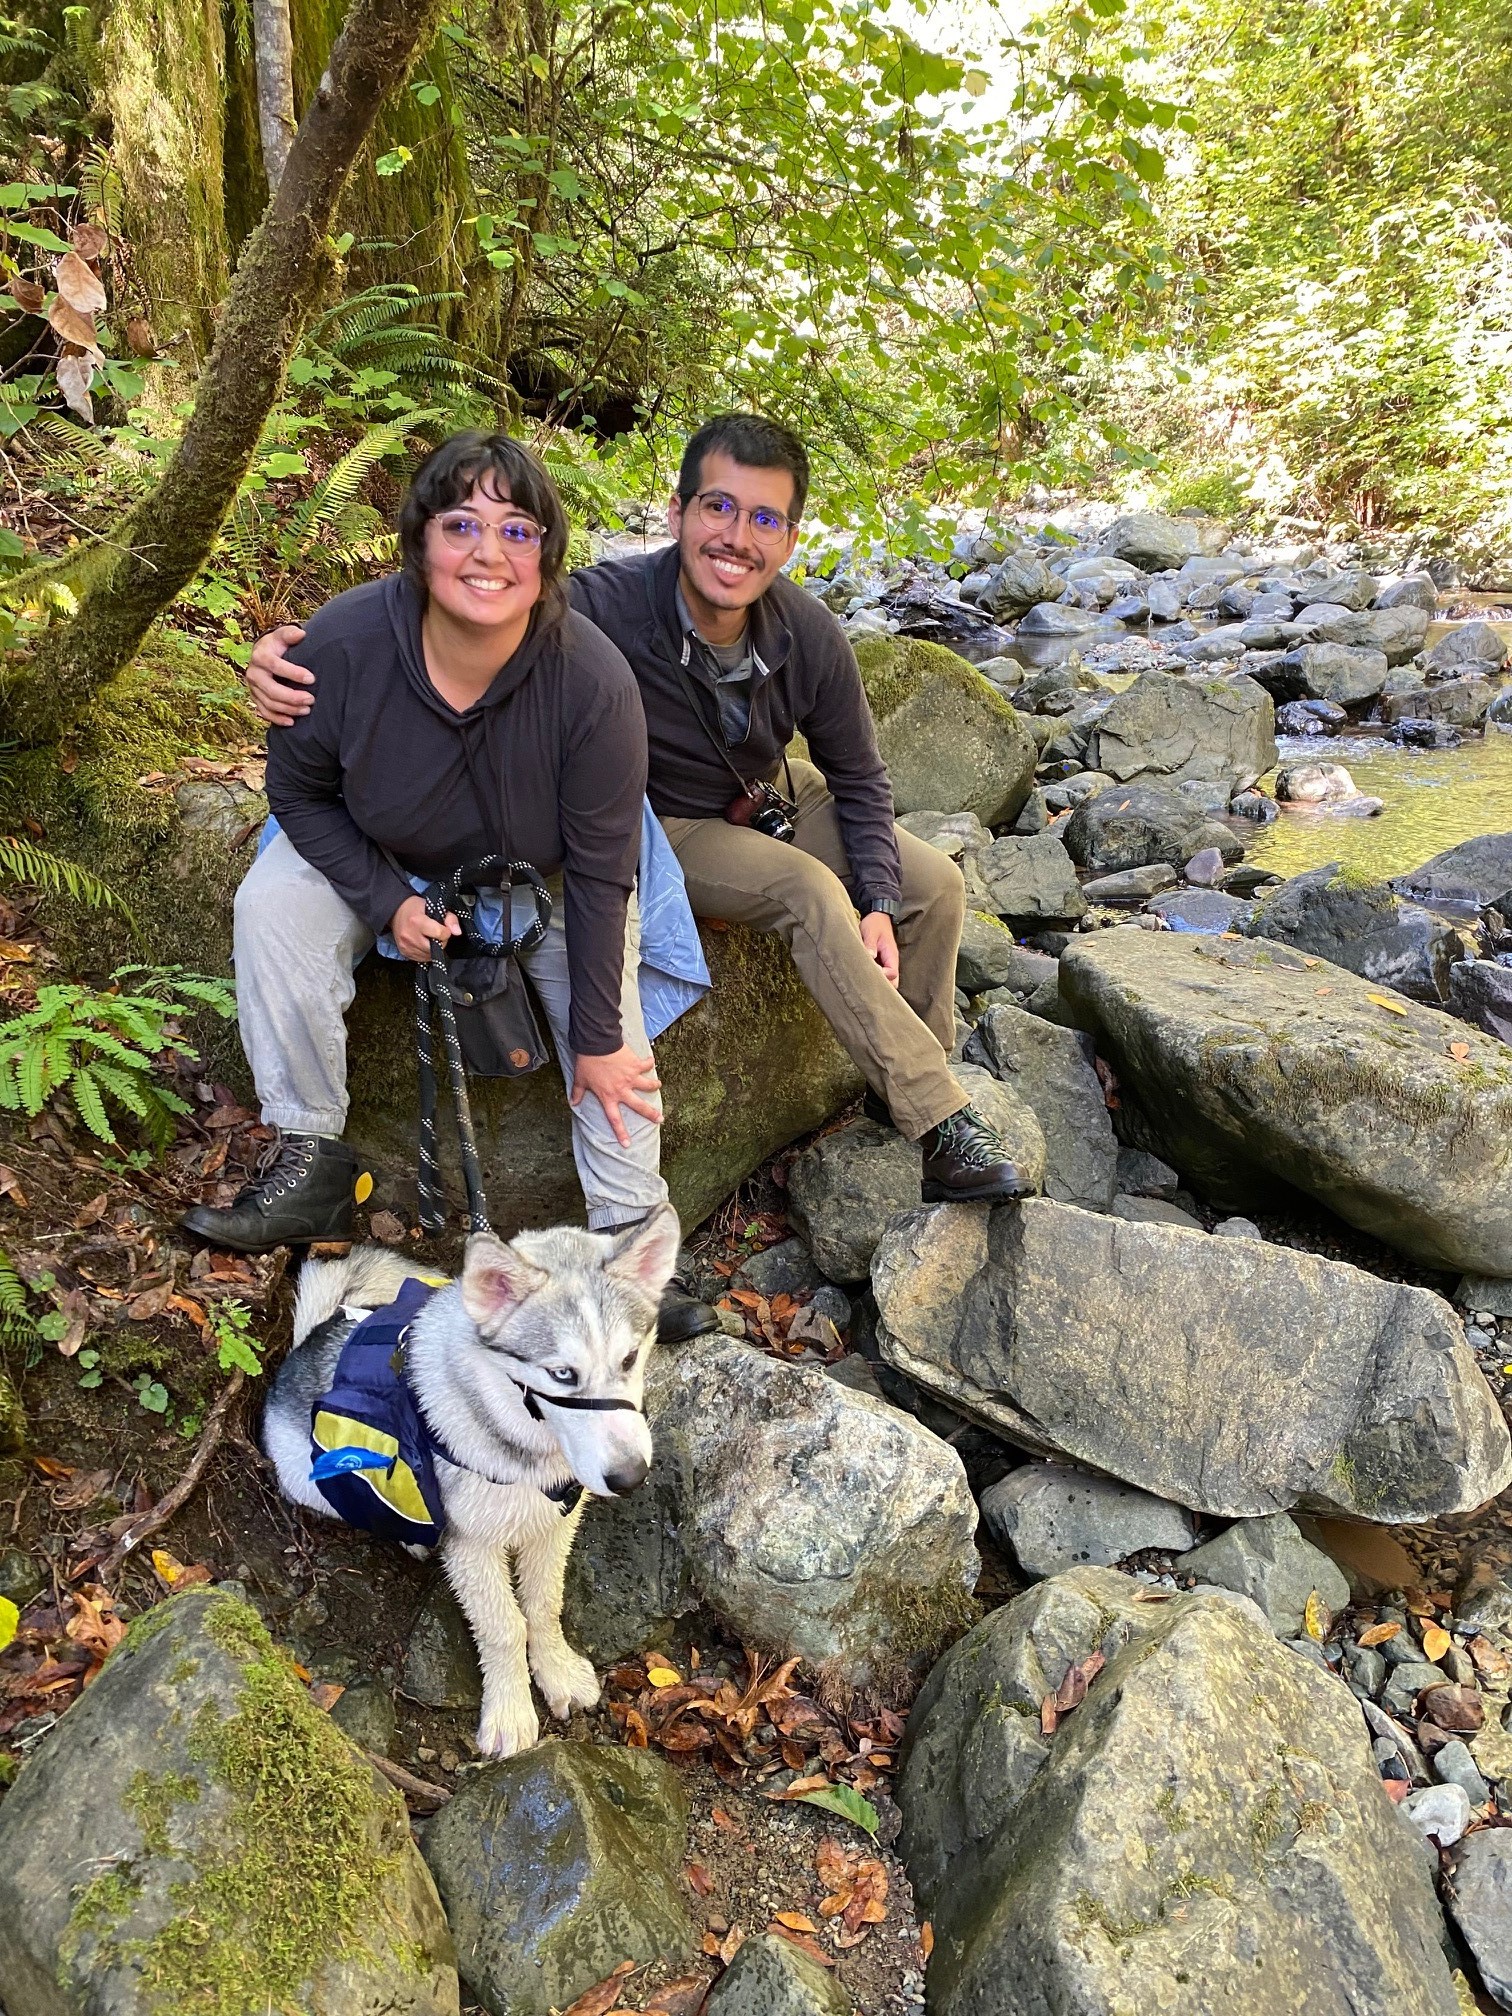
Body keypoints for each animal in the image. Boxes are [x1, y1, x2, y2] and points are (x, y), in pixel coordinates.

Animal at [264, 1201, 681, 1757]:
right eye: (562, 1374)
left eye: (629, 1359)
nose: (631, 1477)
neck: (522, 1443)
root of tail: (308, 1341)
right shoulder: (472, 1546)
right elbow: (505, 1626)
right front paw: (510, 1711)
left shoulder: (553, 1526)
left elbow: (543, 1606)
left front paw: (557, 1672)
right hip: (314, 1482)